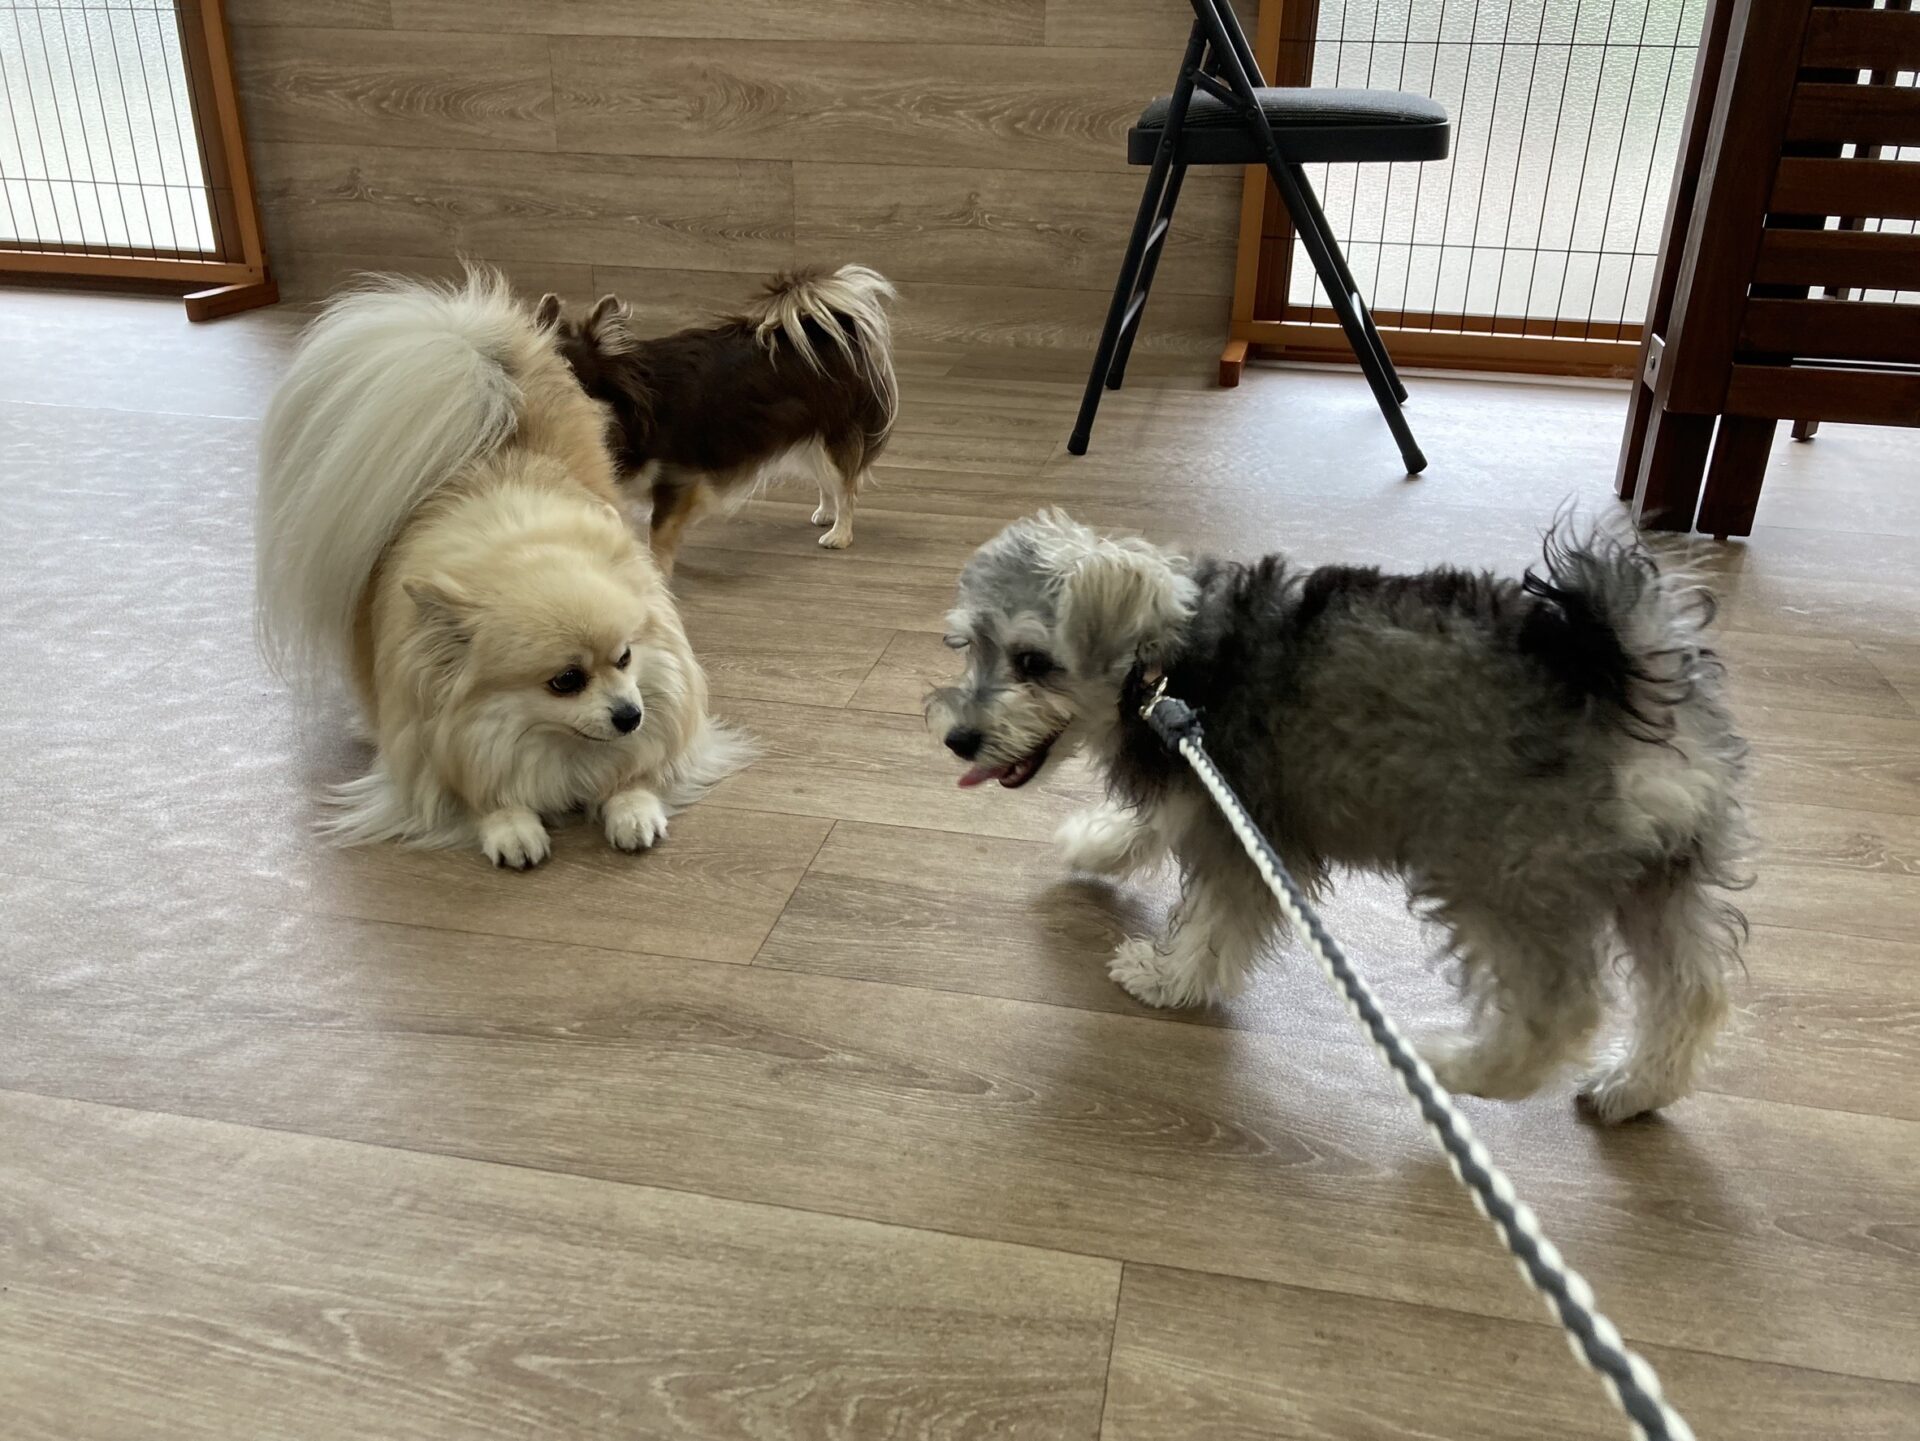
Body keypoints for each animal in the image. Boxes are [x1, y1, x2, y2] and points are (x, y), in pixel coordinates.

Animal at [256, 269, 749, 869]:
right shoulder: (437, 740)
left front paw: (632, 808)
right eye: (566, 682)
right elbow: (477, 795)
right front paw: (511, 825)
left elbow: (636, 773)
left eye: (626, 658)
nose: (630, 714)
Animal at [541, 265, 897, 573]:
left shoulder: (678, 480)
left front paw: (658, 576)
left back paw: (840, 533)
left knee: (846, 486)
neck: (628, 421)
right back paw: (825, 513)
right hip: (809, 435)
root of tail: (829, 330)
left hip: (833, 435)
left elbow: (659, 534)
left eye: (572, 379)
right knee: (827, 480)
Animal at [929, 511, 1750, 1122]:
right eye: (968, 646)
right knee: (1692, 993)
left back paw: (1459, 1067)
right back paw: (1633, 1089)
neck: (1166, 662)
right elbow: (1150, 822)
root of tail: (1629, 678)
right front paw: (1094, 842)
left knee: (1560, 1012)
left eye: (1033, 662)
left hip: (1495, 874)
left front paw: (1166, 979)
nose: (958, 737)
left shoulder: (1241, 830)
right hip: (1658, 874)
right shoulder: (1197, 778)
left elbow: (1212, 924)